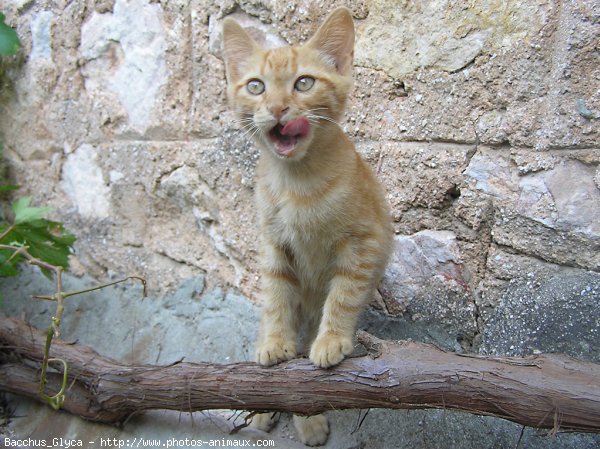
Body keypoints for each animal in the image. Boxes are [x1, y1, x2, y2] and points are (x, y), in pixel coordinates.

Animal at [223, 7, 392, 444]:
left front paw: (332, 340)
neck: (296, 181)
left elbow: (344, 295)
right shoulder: (272, 244)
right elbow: (276, 298)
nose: (278, 108)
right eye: (256, 86)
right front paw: (274, 342)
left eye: (304, 83)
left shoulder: (363, 241)